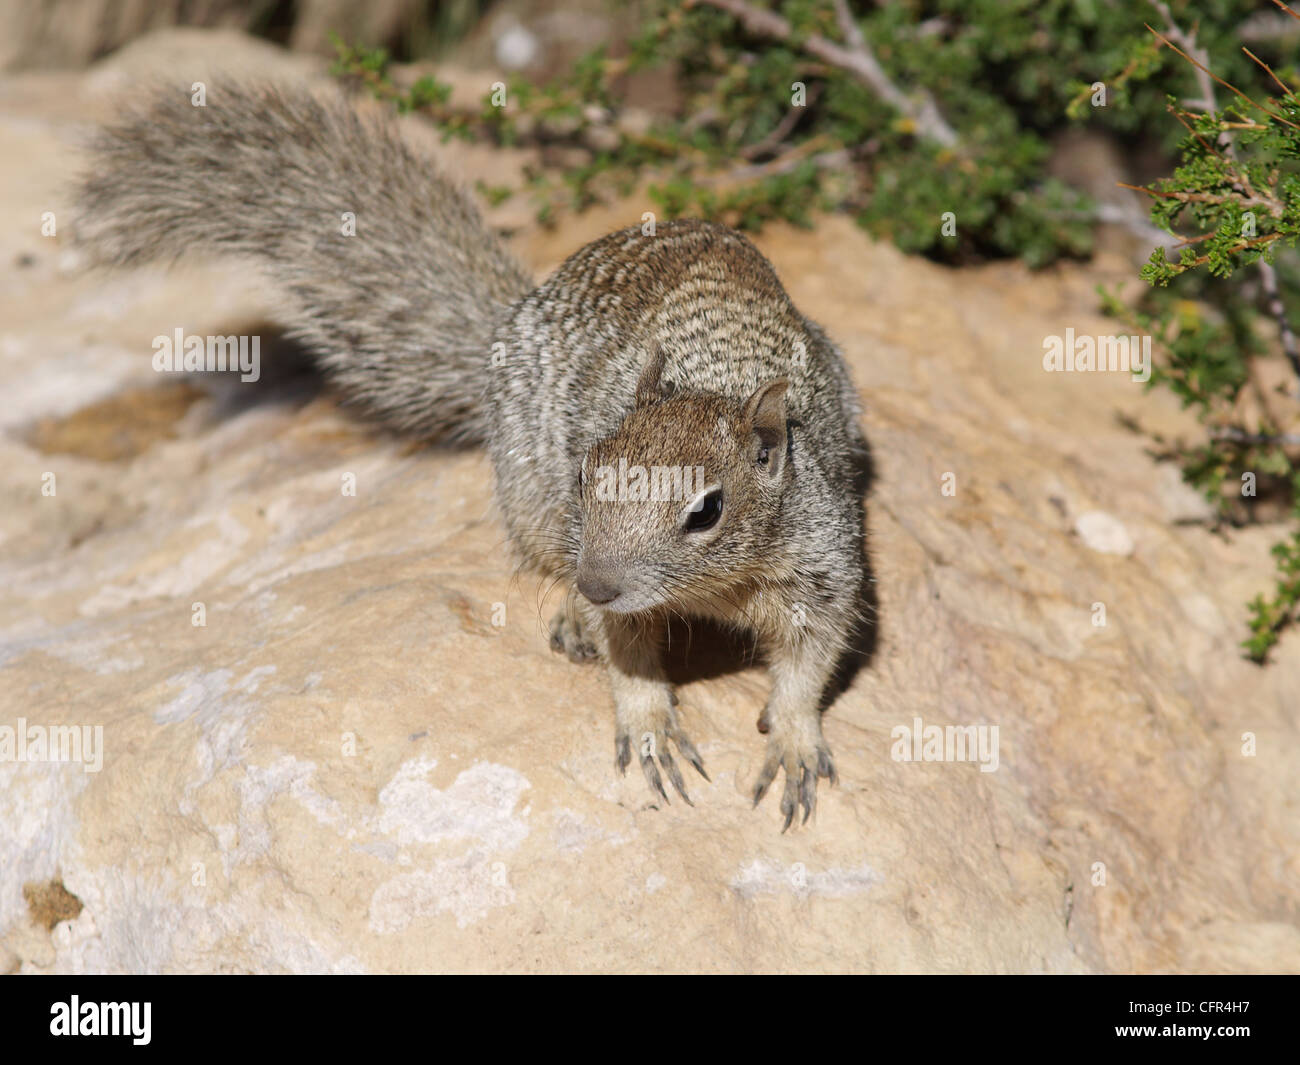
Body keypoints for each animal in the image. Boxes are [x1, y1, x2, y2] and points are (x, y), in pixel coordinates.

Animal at [78, 85, 873, 832]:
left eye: (707, 511)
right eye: (586, 475)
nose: (599, 584)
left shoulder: (821, 568)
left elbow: (809, 665)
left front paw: (794, 743)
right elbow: (627, 658)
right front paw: (650, 725)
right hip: (527, 491)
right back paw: (570, 617)